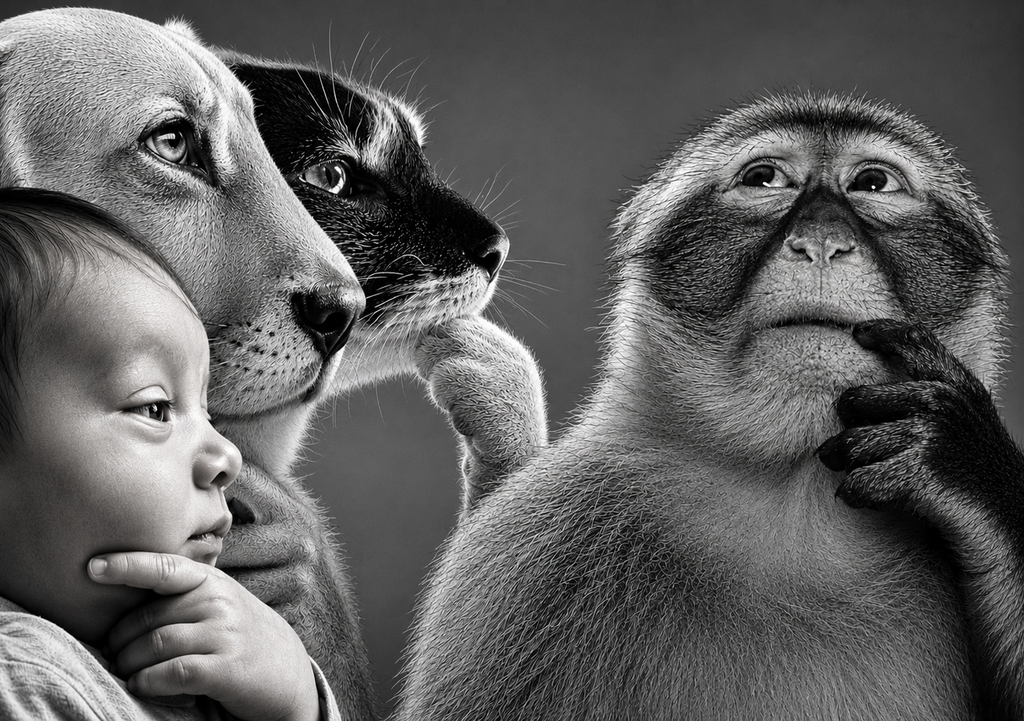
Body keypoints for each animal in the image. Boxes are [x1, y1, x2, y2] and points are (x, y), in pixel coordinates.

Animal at [396, 91, 1024, 720]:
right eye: (764, 178)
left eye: (873, 182)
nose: (822, 243)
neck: (795, 502)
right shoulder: (527, 547)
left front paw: (962, 461)